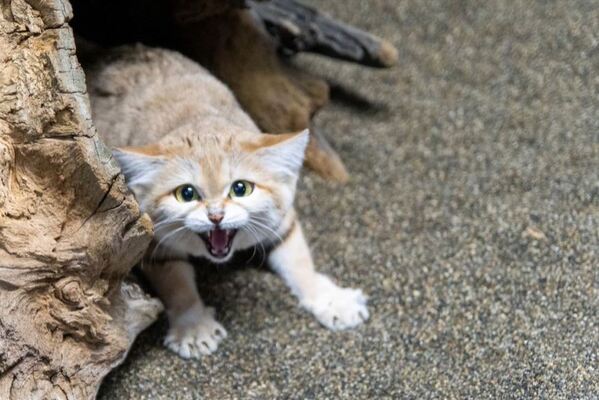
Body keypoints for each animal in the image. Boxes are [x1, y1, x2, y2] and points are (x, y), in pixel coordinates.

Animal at [82, 44, 368, 360]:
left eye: (241, 188)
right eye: (186, 194)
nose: (216, 216)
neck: (199, 119)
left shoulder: (282, 221)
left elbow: (301, 264)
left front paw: (331, 299)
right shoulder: (152, 242)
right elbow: (177, 283)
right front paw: (194, 327)